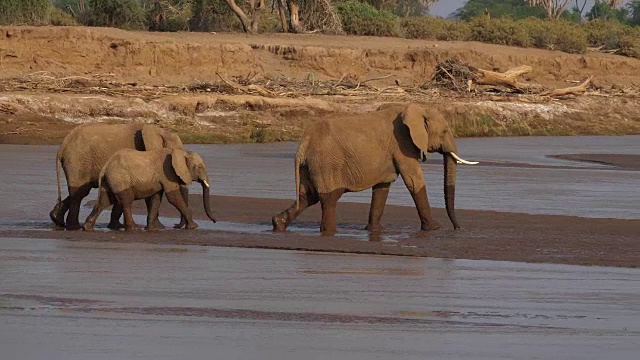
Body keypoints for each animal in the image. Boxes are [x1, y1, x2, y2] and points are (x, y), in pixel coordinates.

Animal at [50, 124, 185, 231]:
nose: (175, 225)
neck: (160, 130)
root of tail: (63, 145)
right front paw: (159, 227)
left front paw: (116, 226)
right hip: (77, 161)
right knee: (79, 193)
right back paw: (74, 227)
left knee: (82, 190)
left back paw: (57, 219)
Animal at [82, 148, 216, 232]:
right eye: (199, 167)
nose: (215, 222)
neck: (180, 152)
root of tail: (105, 167)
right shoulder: (168, 172)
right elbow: (173, 197)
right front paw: (194, 227)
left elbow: (156, 198)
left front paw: (153, 229)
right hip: (120, 178)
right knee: (126, 200)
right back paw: (134, 228)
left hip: (111, 180)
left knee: (104, 201)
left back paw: (87, 228)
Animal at [270, 102, 476, 235]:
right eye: (444, 131)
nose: (457, 228)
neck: (414, 109)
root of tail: (303, 144)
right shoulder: (402, 145)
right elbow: (414, 180)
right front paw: (434, 229)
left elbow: (383, 187)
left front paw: (376, 230)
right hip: (326, 163)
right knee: (328, 198)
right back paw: (329, 232)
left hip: (311, 165)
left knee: (308, 196)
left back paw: (278, 225)